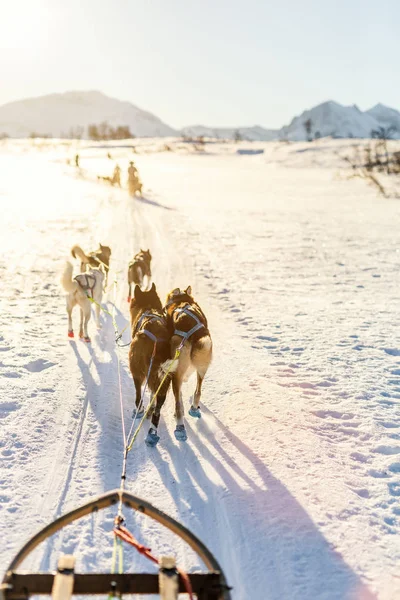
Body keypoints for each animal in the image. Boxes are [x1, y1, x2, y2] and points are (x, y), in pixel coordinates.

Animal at [128, 284, 172, 446]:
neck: (148, 308)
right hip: (164, 379)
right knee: (158, 408)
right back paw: (152, 432)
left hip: (136, 371)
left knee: (138, 397)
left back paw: (140, 411)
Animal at [163, 286, 212, 440]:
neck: (182, 301)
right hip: (203, 367)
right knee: (198, 390)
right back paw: (194, 408)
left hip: (175, 375)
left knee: (178, 404)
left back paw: (180, 427)